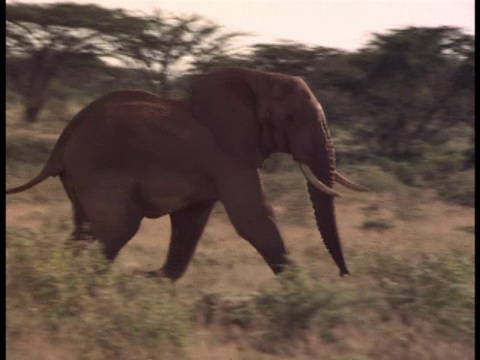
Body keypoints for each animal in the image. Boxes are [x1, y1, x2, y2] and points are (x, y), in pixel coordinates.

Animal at [5, 67, 368, 282]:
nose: (344, 275)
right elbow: (254, 218)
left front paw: (152, 278)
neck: (259, 78)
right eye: (292, 119)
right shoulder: (229, 156)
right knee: (117, 228)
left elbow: (190, 225)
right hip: (97, 167)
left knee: (83, 230)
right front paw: (302, 288)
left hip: (80, 176)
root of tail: (63, 139)